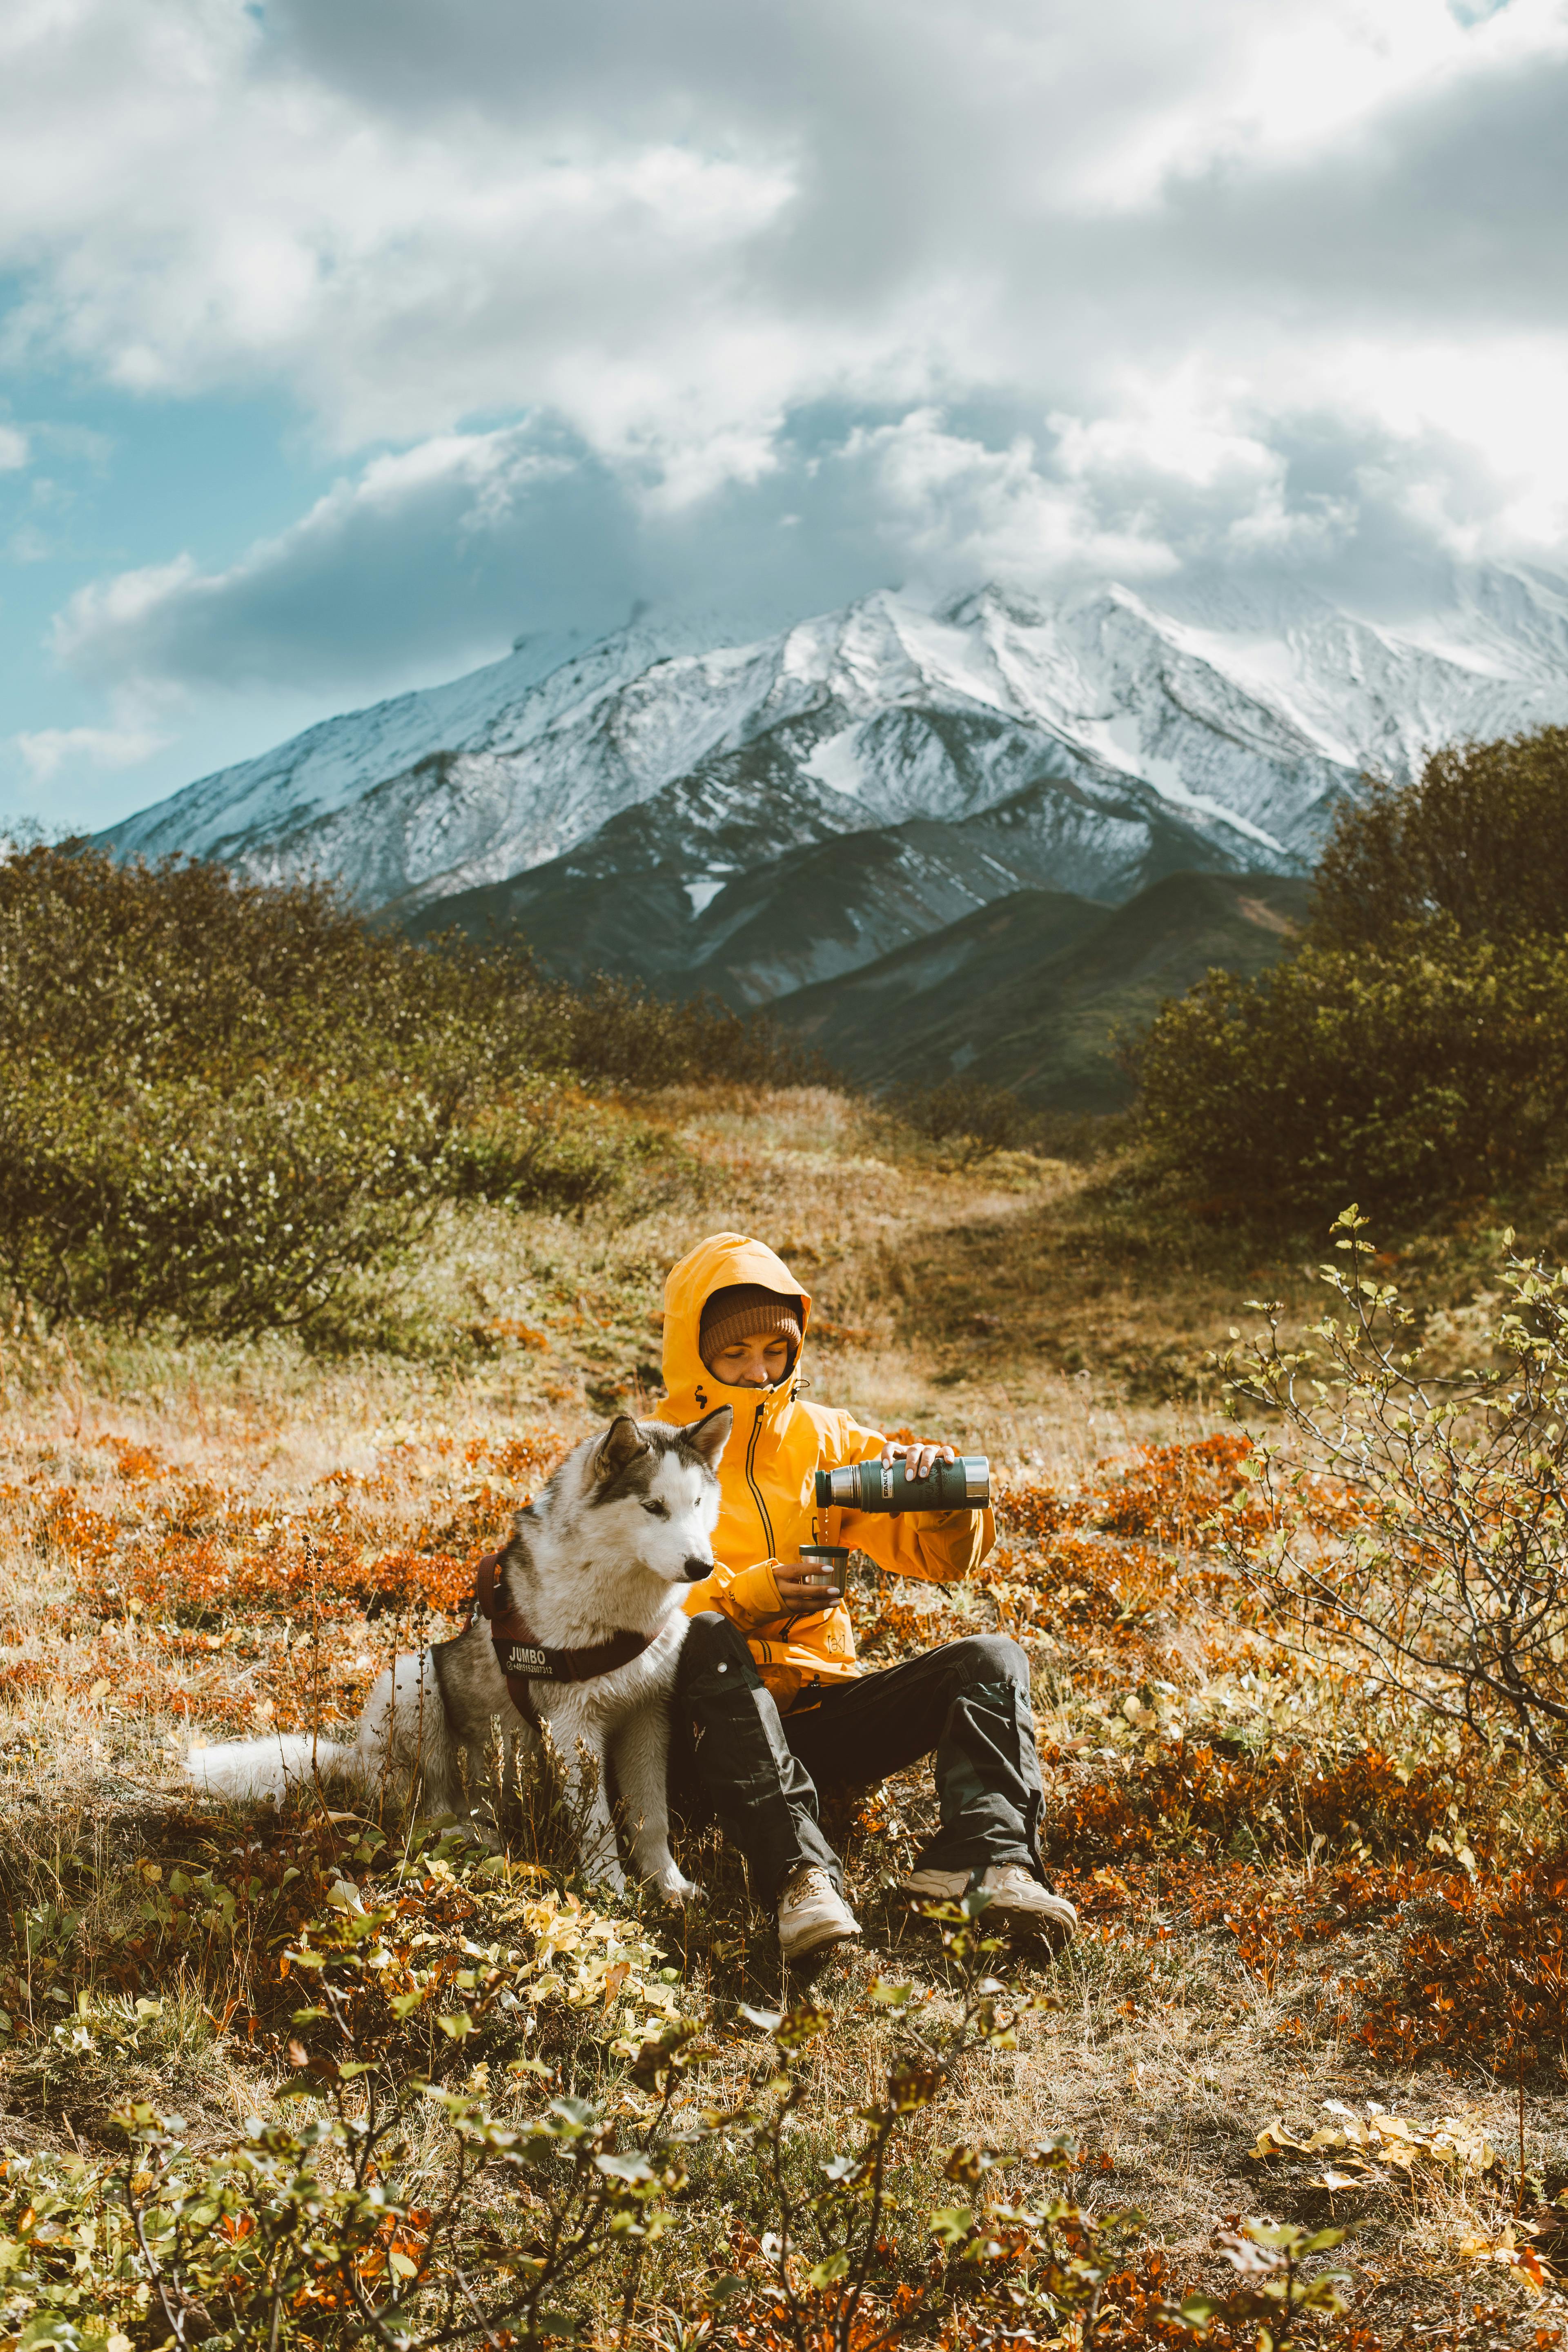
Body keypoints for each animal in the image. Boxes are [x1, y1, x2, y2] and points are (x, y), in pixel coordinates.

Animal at [185, 1401, 738, 1900]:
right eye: (653, 1507)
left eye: (696, 1504)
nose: (702, 1567)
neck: (620, 1612)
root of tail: (357, 1758)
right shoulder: (573, 1726)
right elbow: (598, 1823)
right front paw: (612, 1891)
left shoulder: (648, 1715)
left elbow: (652, 1817)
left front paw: (669, 1884)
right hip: (413, 1679)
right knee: (425, 1814)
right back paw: (472, 1835)